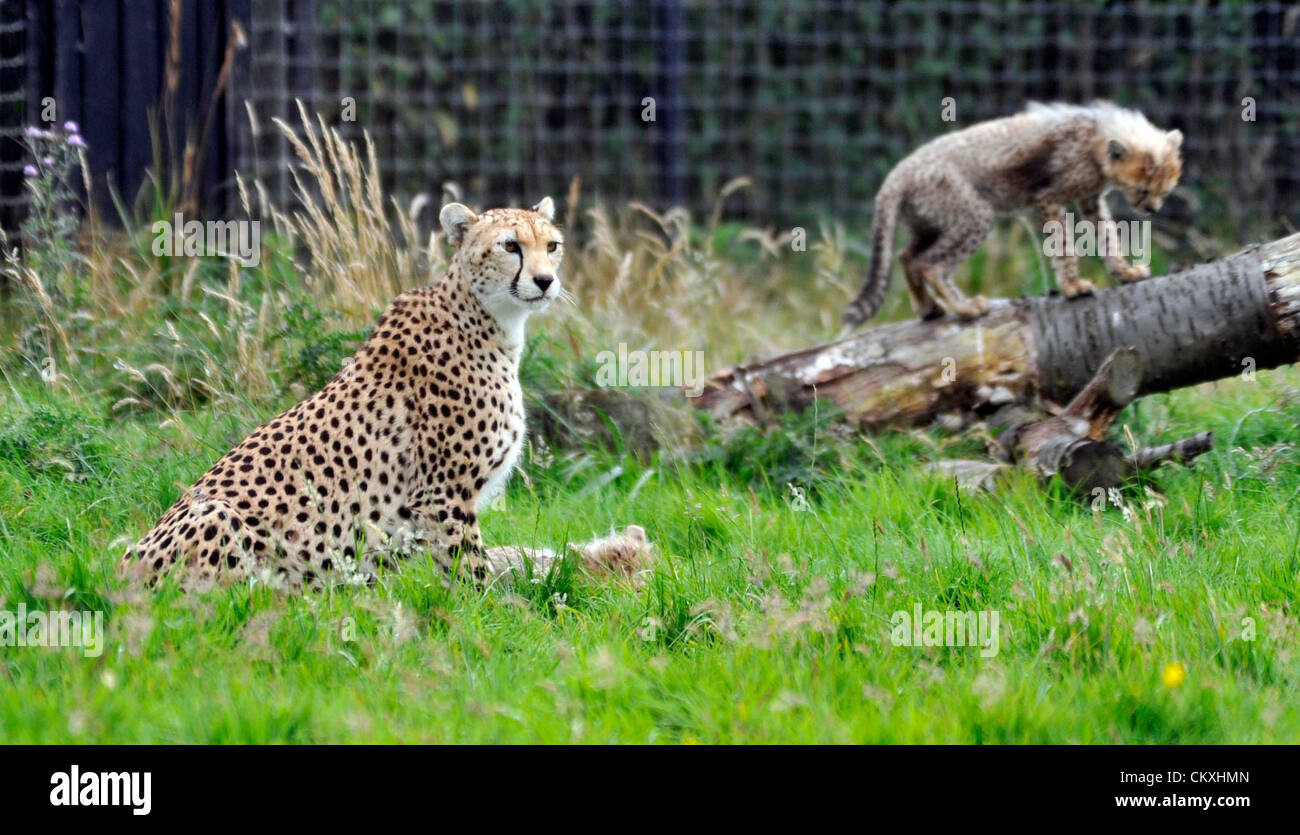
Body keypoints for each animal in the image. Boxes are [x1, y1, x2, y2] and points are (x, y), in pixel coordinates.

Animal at [122, 197, 650, 587]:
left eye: (553, 245)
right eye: (510, 246)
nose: (545, 280)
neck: (492, 320)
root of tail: (123, 574)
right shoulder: (441, 495)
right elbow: (473, 573)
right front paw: (502, 618)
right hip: (217, 513)